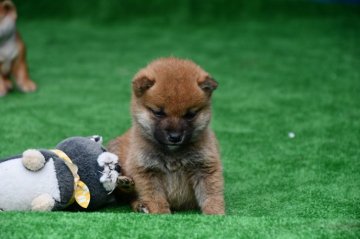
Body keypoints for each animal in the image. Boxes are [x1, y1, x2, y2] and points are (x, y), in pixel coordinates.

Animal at [107, 58, 225, 215]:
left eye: (190, 115)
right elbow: (155, 197)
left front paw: (216, 214)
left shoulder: (205, 167)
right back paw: (129, 188)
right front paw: (161, 214)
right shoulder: (146, 171)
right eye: (159, 113)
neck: (173, 154)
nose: (175, 137)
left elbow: (211, 194)